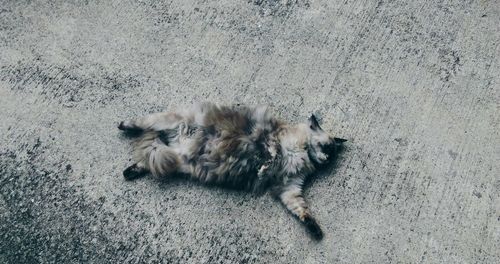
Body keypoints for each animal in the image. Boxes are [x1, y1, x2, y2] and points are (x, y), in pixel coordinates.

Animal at [117, 102, 346, 239]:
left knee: (151, 161)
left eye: (332, 154)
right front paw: (264, 166)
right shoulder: (272, 140)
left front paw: (314, 228)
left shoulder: (289, 187)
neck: (302, 154)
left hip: (178, 160)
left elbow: (301, 209)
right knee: (142, 122)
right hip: (166, 122)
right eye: (327, 148)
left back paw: (130, 171)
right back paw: (124, 125)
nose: (327, 160)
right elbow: (271, 152)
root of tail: (177, 142)